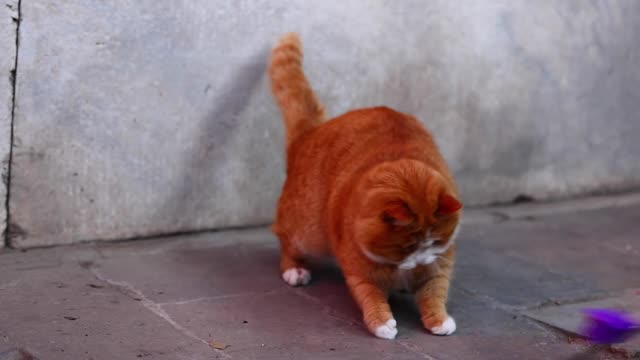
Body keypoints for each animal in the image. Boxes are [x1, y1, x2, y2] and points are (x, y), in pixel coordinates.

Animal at [268, 32, 462, 338]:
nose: (420, 261)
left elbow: (434, 292)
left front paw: (439, 320)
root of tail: (310, 134)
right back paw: (295, 270)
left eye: (433, 242)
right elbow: (371, 297)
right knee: (287, 239)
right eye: (408, 245)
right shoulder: (361, 273)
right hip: (309, 234)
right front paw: (382, 323)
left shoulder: (438, 265)